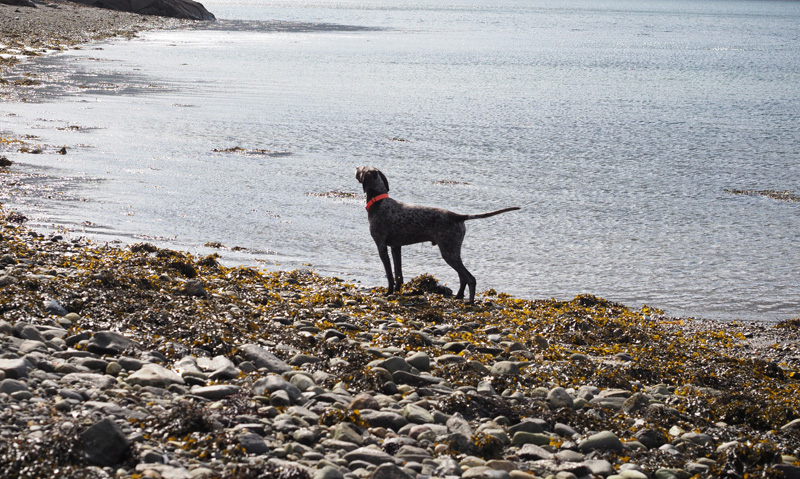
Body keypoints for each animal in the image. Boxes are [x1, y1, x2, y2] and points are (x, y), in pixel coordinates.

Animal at [354, 168, 520, 304]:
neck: (379, 200)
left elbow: (389, 274)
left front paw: (388, 293)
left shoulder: (381, 246)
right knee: (462, 277)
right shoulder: (396, 247)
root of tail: (458, 216)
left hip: (448, 252)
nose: (356, 167)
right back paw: (459, 296)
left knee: (470, 278)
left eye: (362, 169)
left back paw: (470, 302)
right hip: (453, 252)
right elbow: (398, 274)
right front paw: (396, 291)